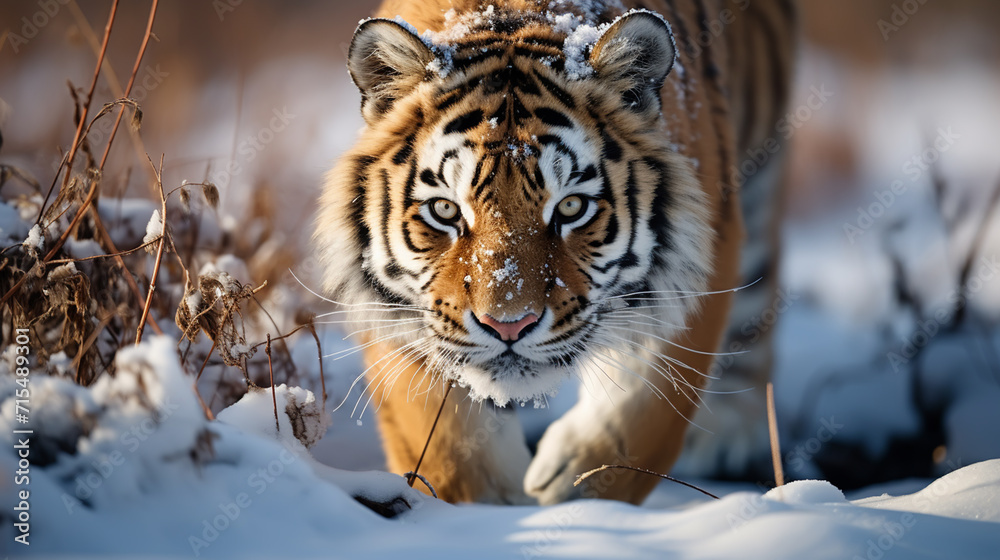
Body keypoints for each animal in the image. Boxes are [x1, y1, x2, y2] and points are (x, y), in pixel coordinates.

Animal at [315, 0, 795, 505]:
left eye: (571, 207)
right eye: (445, 209)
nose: (508, 326)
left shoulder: (699, 259)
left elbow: (641, 411)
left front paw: (573, 491)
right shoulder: (402, 307)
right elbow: (445, 445)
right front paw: (492, 505)